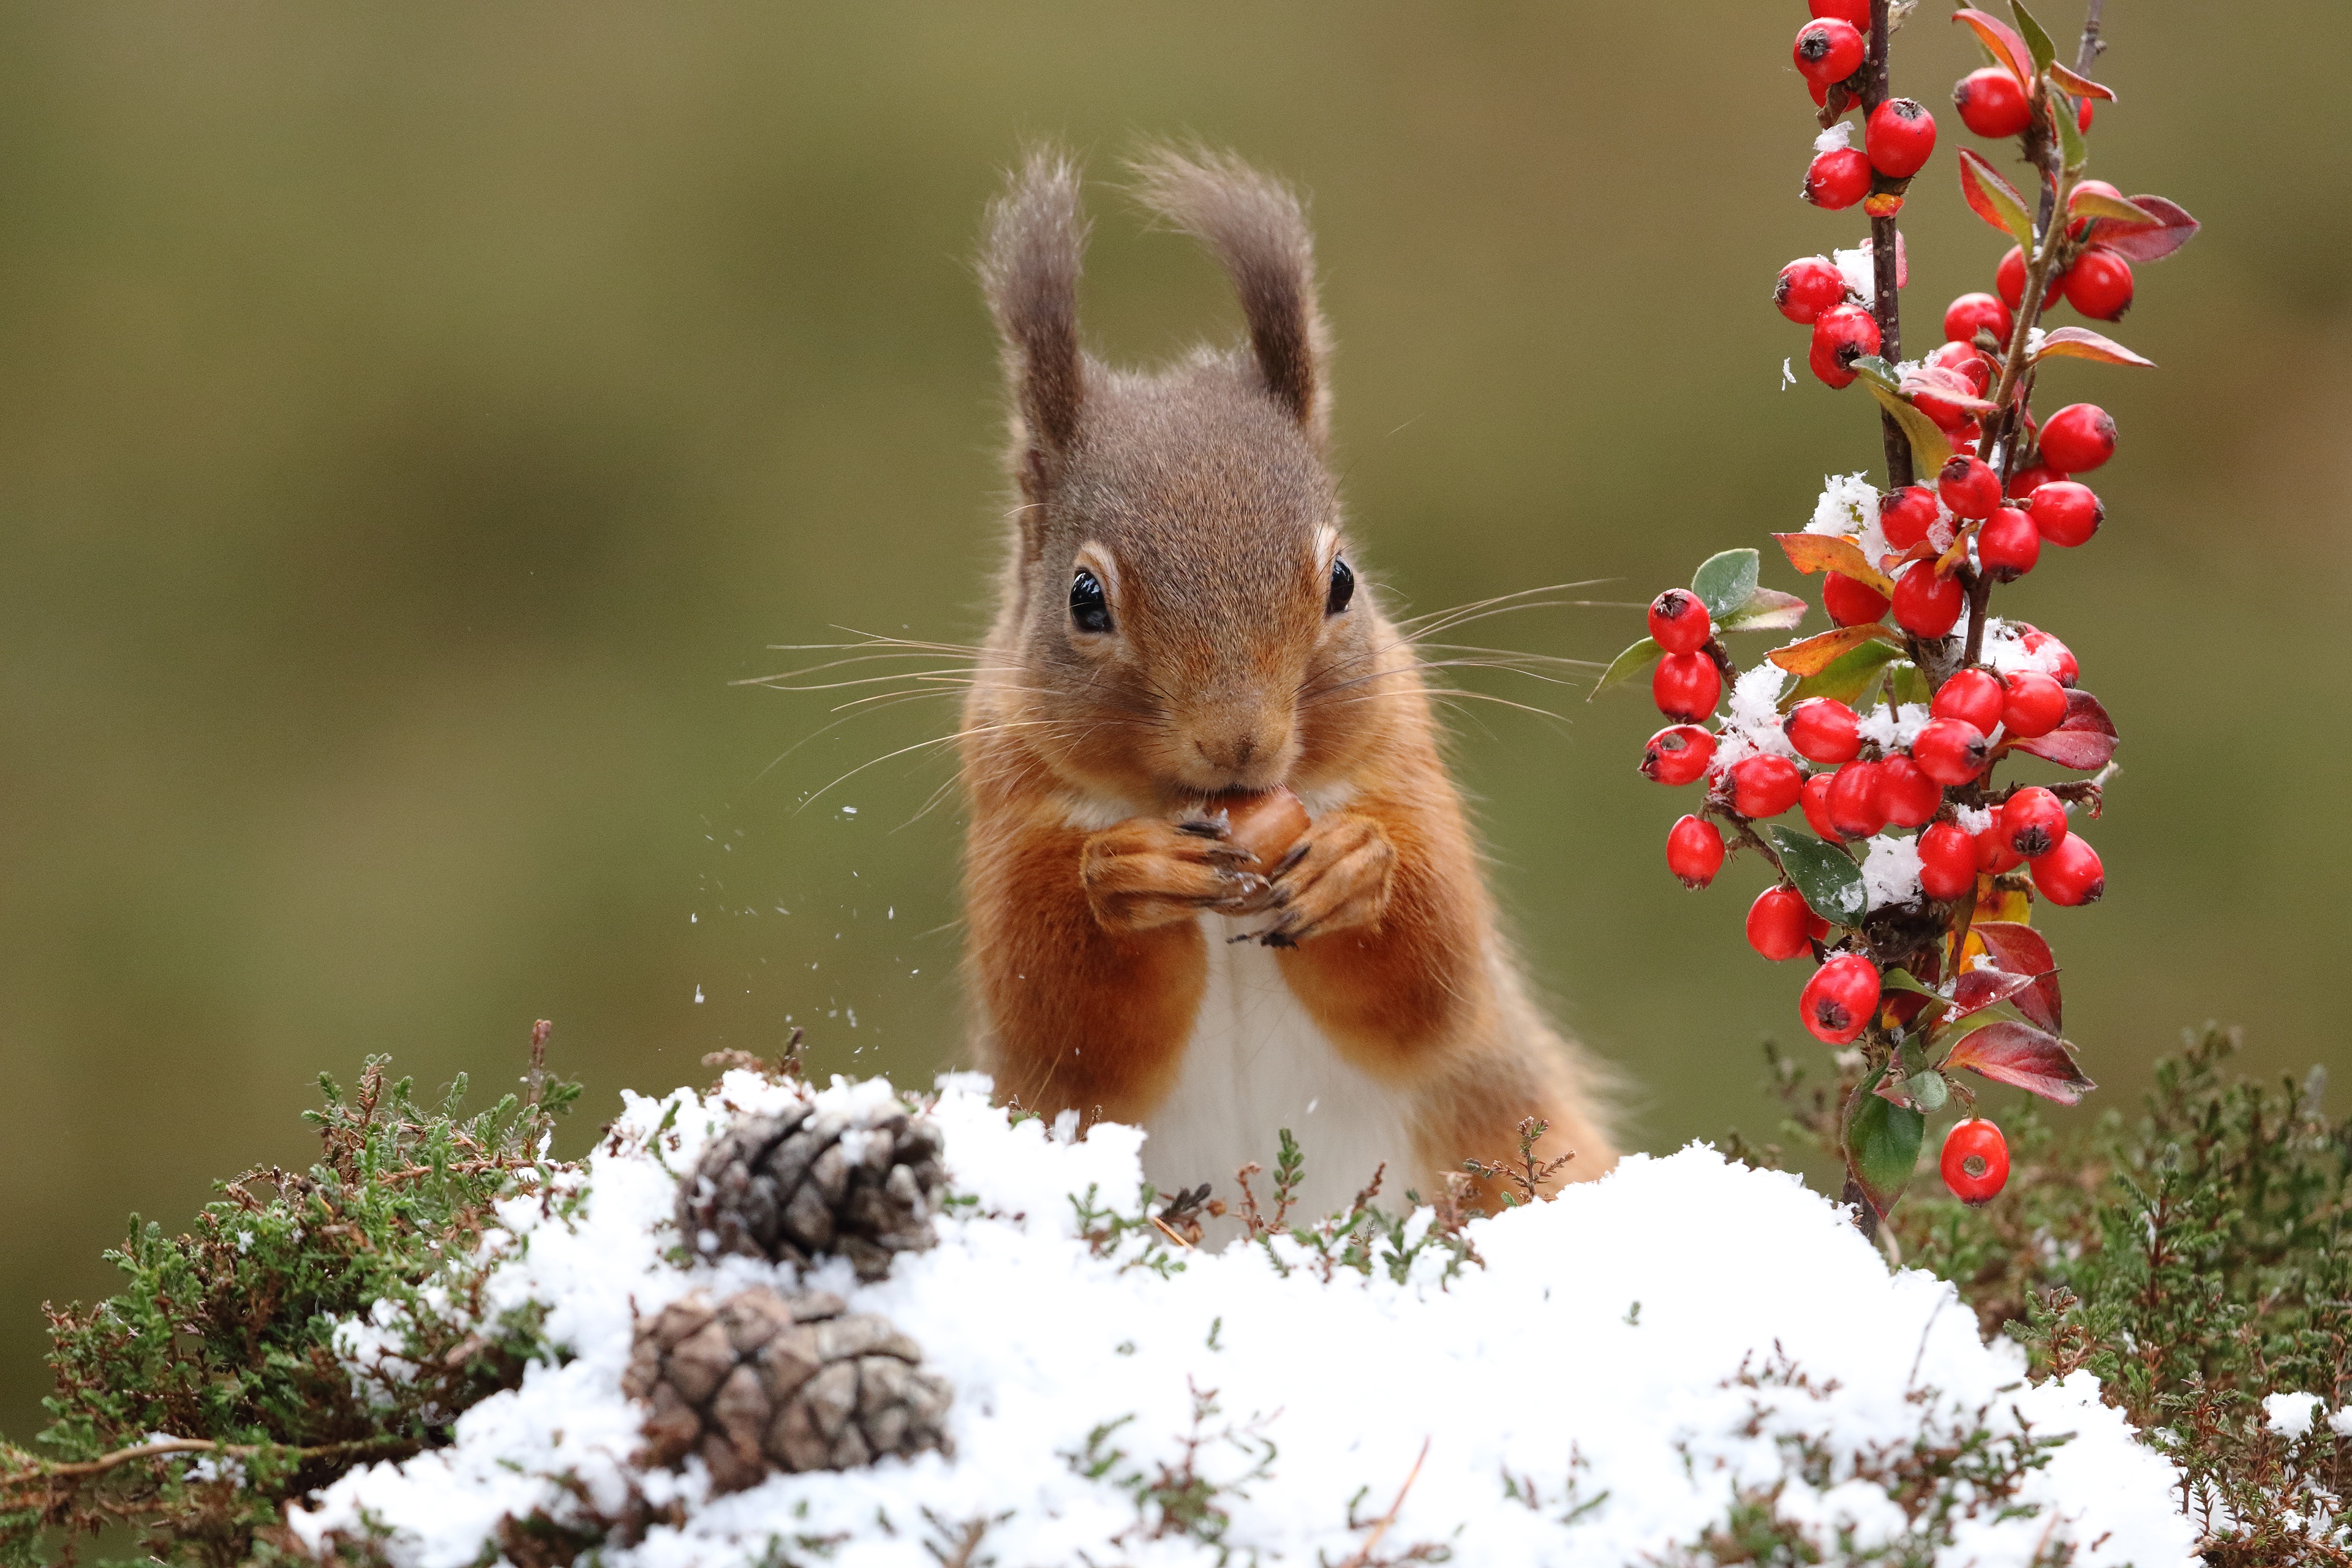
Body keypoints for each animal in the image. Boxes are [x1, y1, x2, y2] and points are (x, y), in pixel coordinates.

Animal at [955, 144, 1618, 1213]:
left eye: (1341, 580)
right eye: (1085, 599)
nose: (1239, 741)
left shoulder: (1404, 763)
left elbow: (1435, 976)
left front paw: (1356, 866)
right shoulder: (1007, 810)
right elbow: (1060, 1010)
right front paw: (1125, 873)